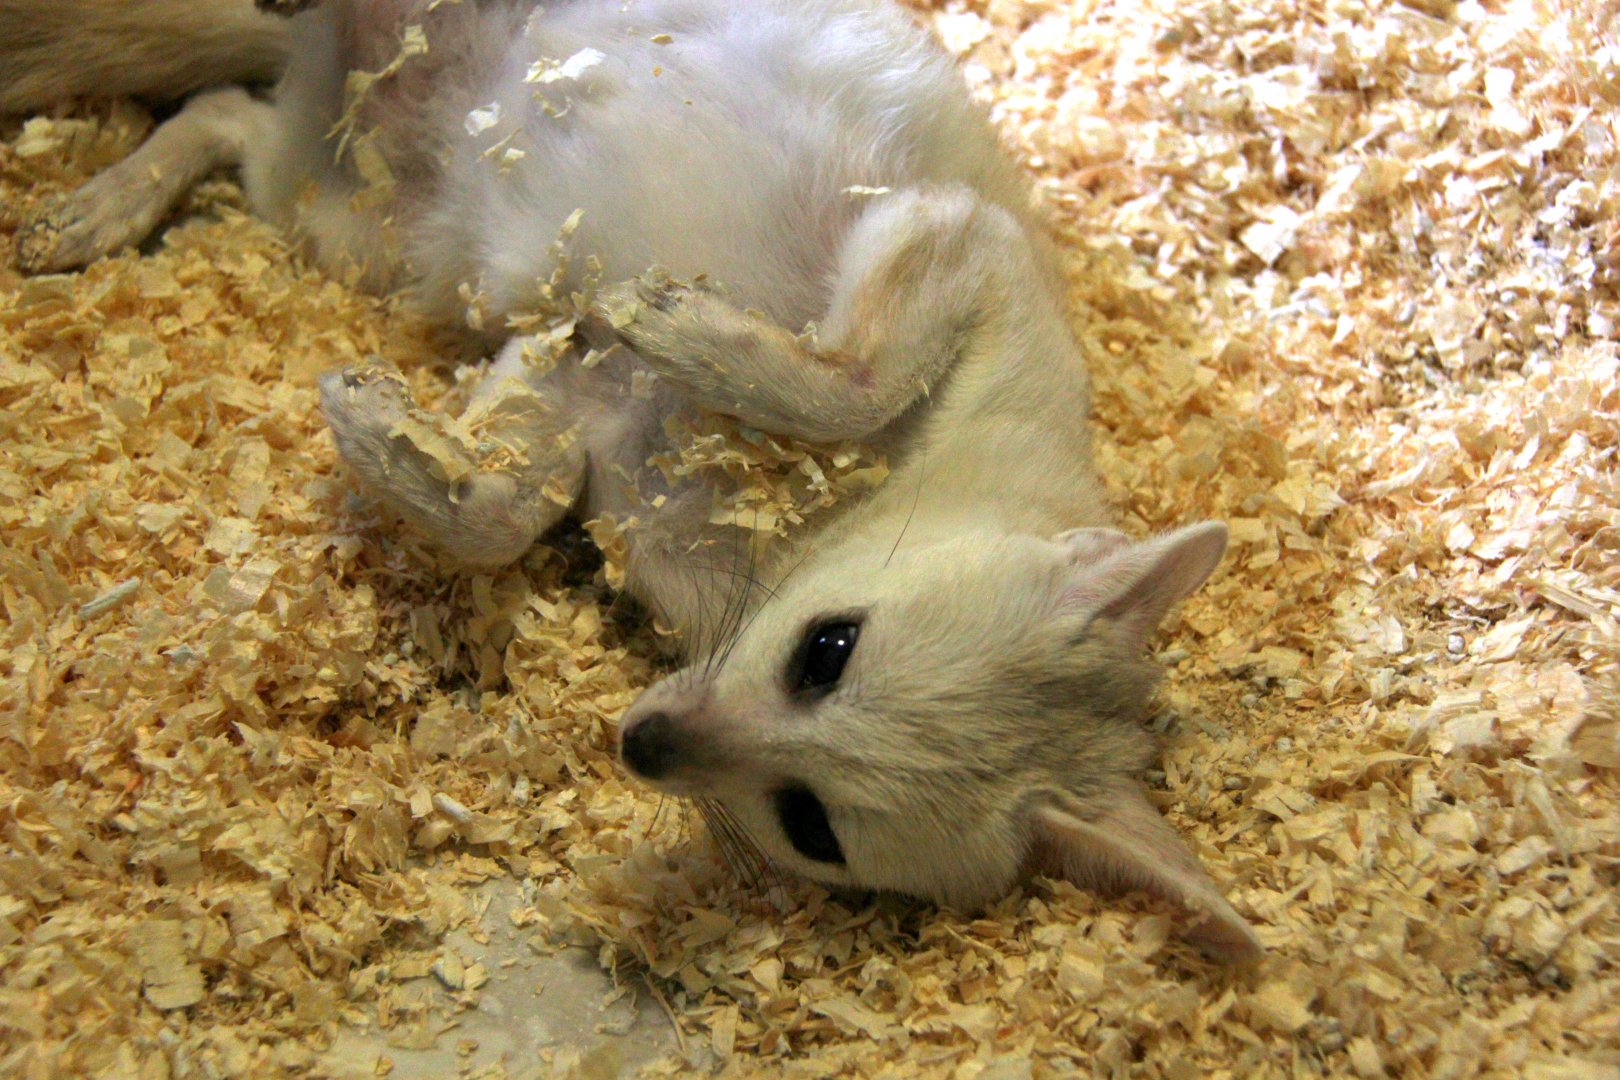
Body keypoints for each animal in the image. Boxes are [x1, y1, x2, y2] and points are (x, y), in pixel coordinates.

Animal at [4, 0, 1262, 962]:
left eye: (810, 824)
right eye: (828, 650)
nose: (640, 743)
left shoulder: (571, 395)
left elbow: (498, 512)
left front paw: (390, 439)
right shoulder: (956, 239)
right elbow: (849, 384)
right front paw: (683, 324)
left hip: (337, 209)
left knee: (223, 112)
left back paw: (100, 206)